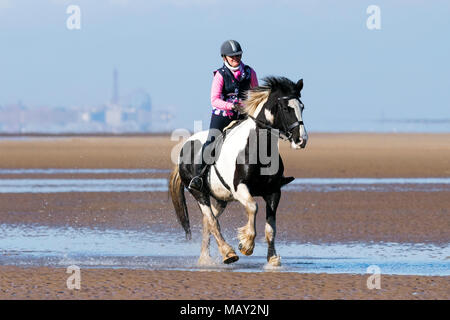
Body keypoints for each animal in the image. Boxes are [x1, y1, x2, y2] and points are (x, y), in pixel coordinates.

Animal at [171, 76, 308, 266]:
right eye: (286, 108)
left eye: (302, 107)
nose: (301, 140)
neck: (258, 147)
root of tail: (185, 145)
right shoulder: (240, 188)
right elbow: (253, 206)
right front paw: (246, 244)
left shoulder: (274, 192)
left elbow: (271, 228)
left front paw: (273, 259)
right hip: (199, 193)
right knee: (212, 221)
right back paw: (228, 253)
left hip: (221, 198)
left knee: (208, 222)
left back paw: (205, 257)